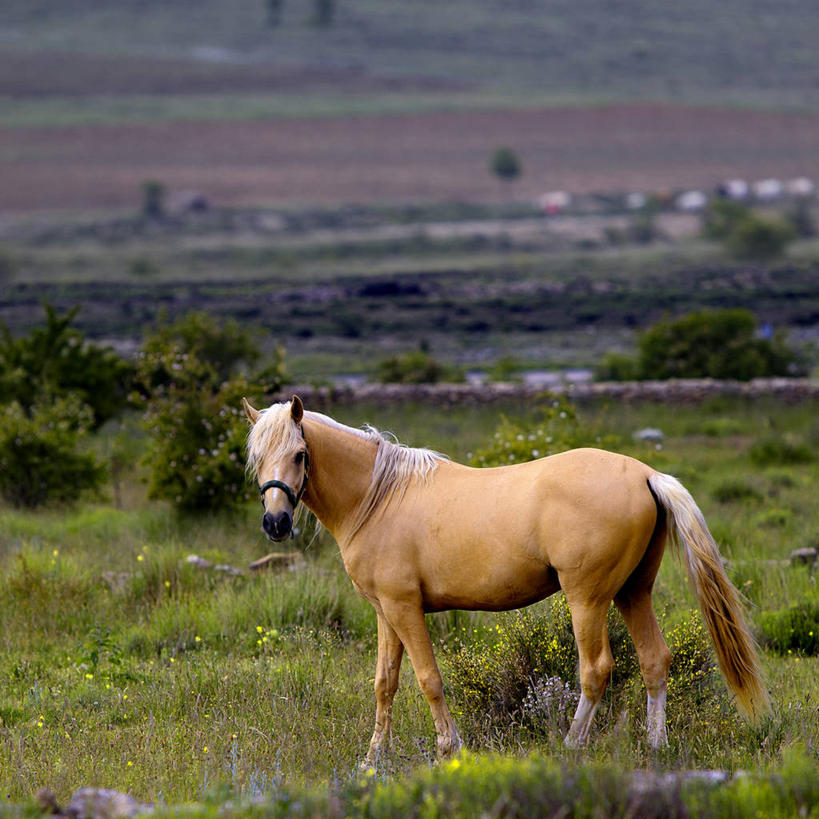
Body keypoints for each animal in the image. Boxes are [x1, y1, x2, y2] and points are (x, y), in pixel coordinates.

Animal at [242, 394, 768, 764]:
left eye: (300, 454)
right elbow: (384, 684)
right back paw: (657, 747)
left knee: (596, 669)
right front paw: (374, 760)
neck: (377, 497)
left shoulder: (404, 608)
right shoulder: (386, 613)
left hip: (588, 599)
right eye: (257, 458)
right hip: (633, 593)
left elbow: (428, 680)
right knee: (655, 660)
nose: (275, 523)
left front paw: (448, 749)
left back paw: (571, 746)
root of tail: (645, 474)